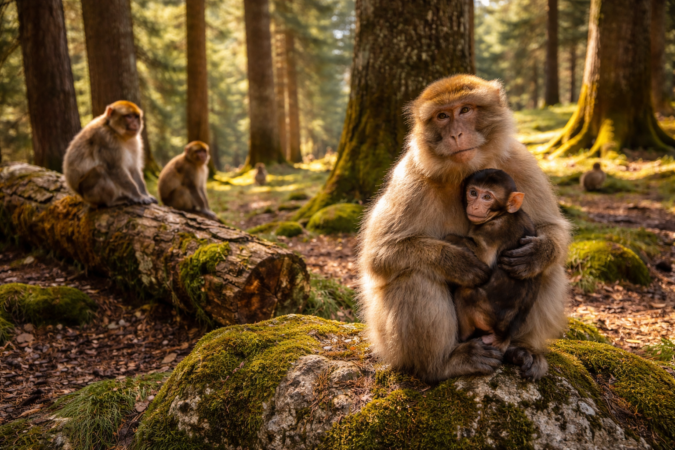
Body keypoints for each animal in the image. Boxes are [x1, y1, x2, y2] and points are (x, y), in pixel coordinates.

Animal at [445, 169, 542, 357]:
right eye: (473, 193)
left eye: (487, 197)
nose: (475, 206)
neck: (504, 213)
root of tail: (503, 336)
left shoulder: (493, 230)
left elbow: (483, 261)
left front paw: (449, 239)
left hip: (484, 316)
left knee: (465, 293)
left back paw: (463, 339)